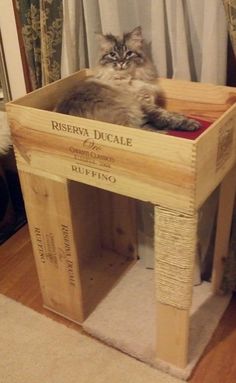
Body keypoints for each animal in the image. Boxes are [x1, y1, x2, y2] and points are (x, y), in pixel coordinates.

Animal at [54, 26, 199, 132]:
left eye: (129, 53)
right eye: (112, 55)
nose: (121, 62)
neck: (129, 77)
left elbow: (168, 113)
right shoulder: (144, 104)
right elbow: (165, 115)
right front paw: (190, 123)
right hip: (129, 110)